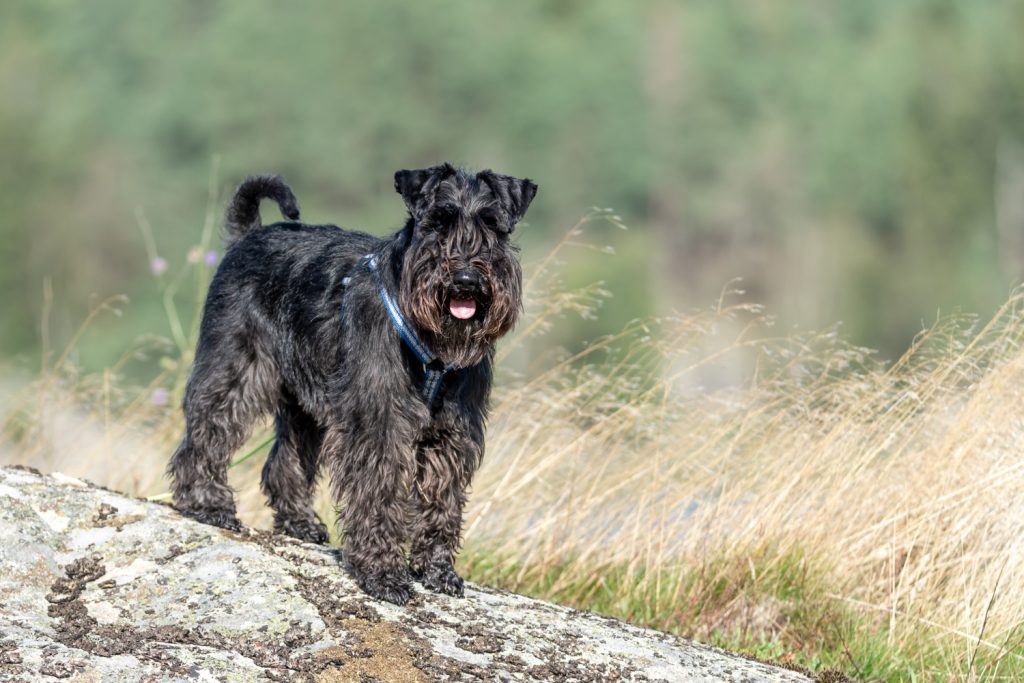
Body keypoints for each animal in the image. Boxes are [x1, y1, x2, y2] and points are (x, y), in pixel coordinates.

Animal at [169, 163, 536, 602]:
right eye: (437, 222)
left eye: (492, 224)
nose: (465, 279)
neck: (432, 343)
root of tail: (249, 235)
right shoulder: (378, 423)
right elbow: (378, 494)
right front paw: (383, 573)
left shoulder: (452, 432)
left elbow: (442, 501)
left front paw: (438, 570)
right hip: (236, 369)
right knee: (206, 431)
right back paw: (207, 504)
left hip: (304, 405)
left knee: (284, 461)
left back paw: (300, 522)